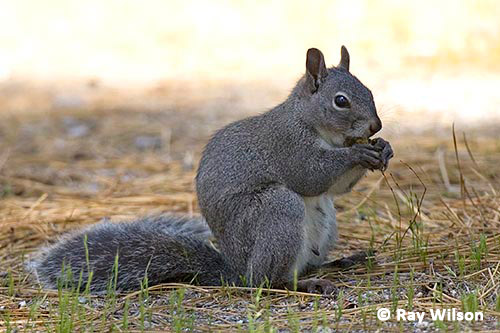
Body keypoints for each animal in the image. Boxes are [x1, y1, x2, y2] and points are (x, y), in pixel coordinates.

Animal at [27, 46, 394, 294]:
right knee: (267, 280)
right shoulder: (287, 145)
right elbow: (311, 175)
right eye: (341, 101)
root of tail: (236, 270)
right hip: (275, 211)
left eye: (370, 90)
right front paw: (359, 152)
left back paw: (341, 261)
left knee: (307, 262)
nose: (375, 126)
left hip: (325, 220)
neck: (312, 124)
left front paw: (384, 148)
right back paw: (302, 283)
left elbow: (335, 188)